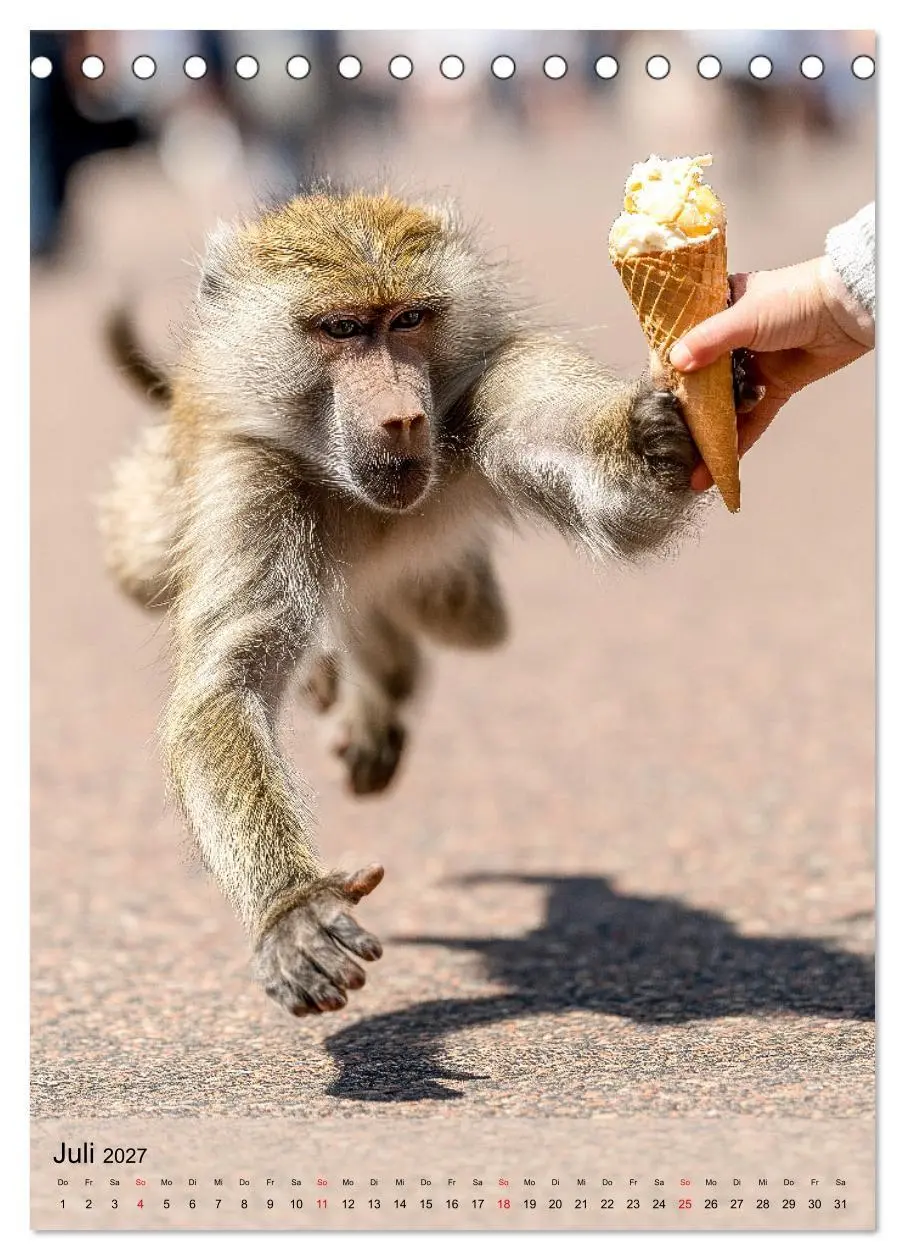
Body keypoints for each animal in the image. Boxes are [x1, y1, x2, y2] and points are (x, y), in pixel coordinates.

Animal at [99, 188, 703, 1019]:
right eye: (342, 329)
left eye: (409, 320)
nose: (402, 418)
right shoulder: (248, 474)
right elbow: (226, 688)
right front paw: (292, 912)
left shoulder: (498, 377)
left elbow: (624, 508)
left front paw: (661, 436)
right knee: (142, 564)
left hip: (444, 584)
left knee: (463, 615)